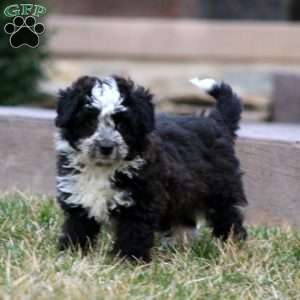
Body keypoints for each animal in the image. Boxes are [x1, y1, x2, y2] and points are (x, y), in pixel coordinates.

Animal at [55, 75, 247, 262]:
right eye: (89, 122)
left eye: (122, 125)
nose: (106, 147)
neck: (103, 168)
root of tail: (216, 122)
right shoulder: (79, 199)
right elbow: (78, 229)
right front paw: (72, 253)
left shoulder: (141, 201)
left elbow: (134, 232)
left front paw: (129, 260)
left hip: (220, 190)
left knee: (228, 217)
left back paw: (232, 246)